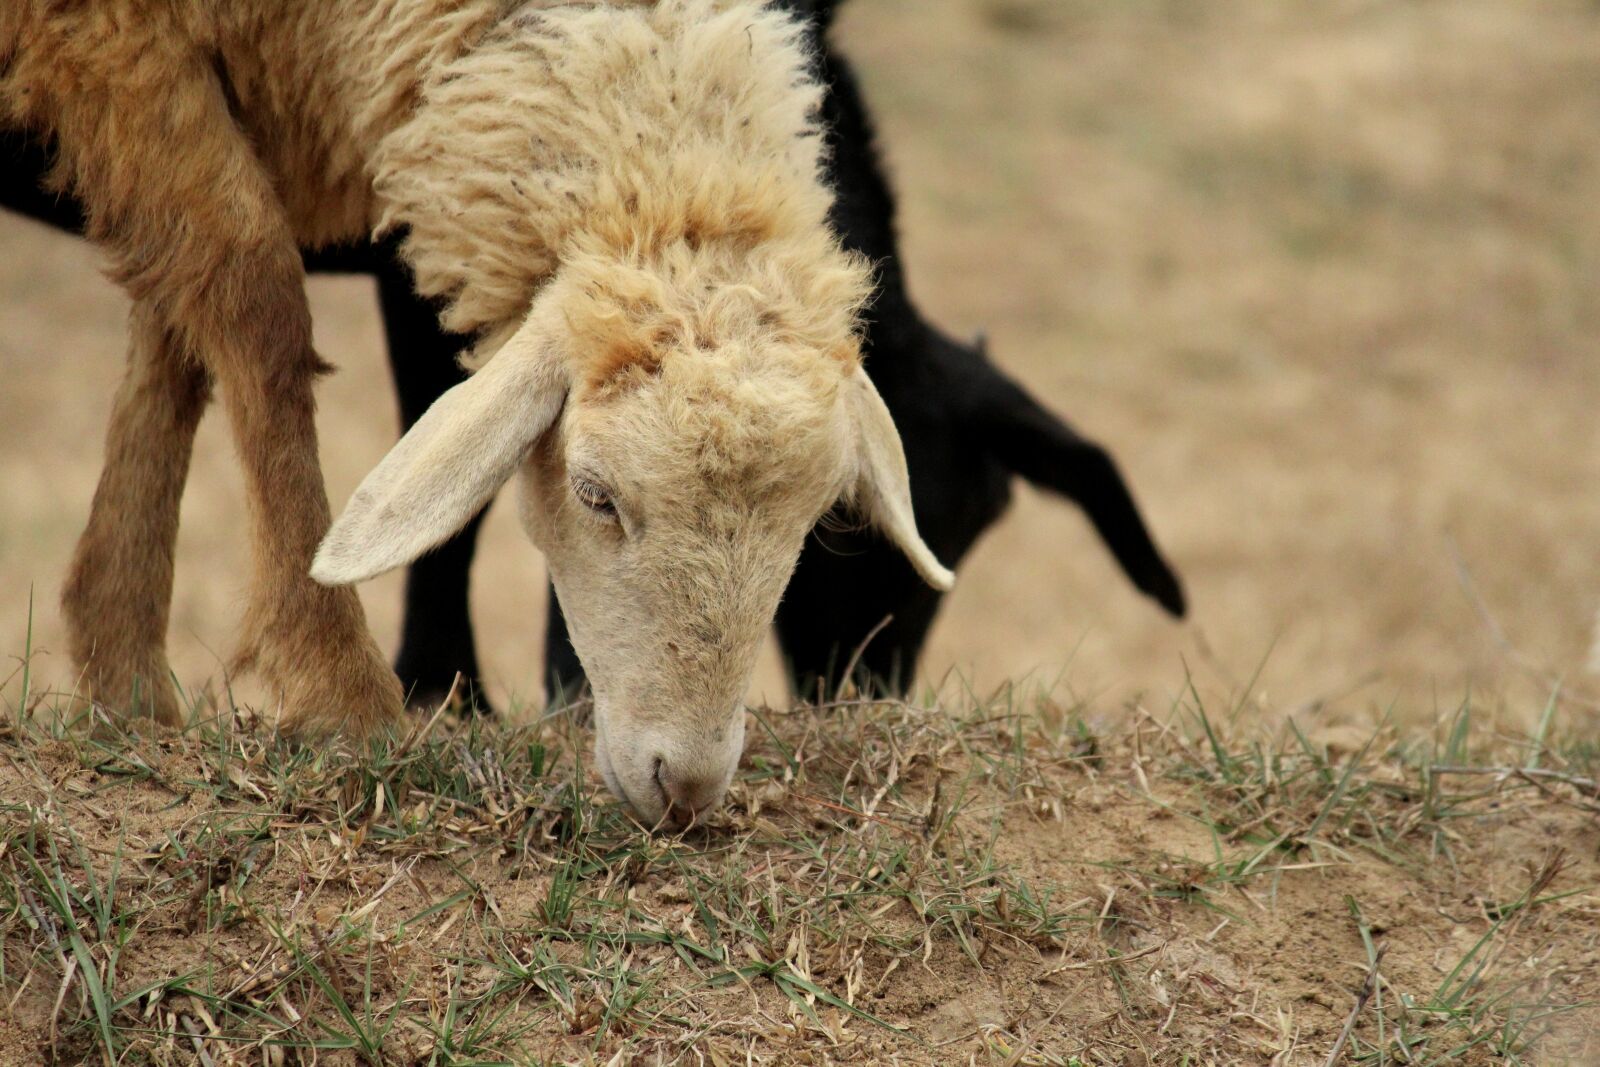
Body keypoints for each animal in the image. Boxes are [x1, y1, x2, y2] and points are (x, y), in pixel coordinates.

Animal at [2, 0, 1185, 715]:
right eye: (849, 531)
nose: (865, 704)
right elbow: (266, 317)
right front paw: (385, 689)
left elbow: (177, 335)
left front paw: (121, 671)